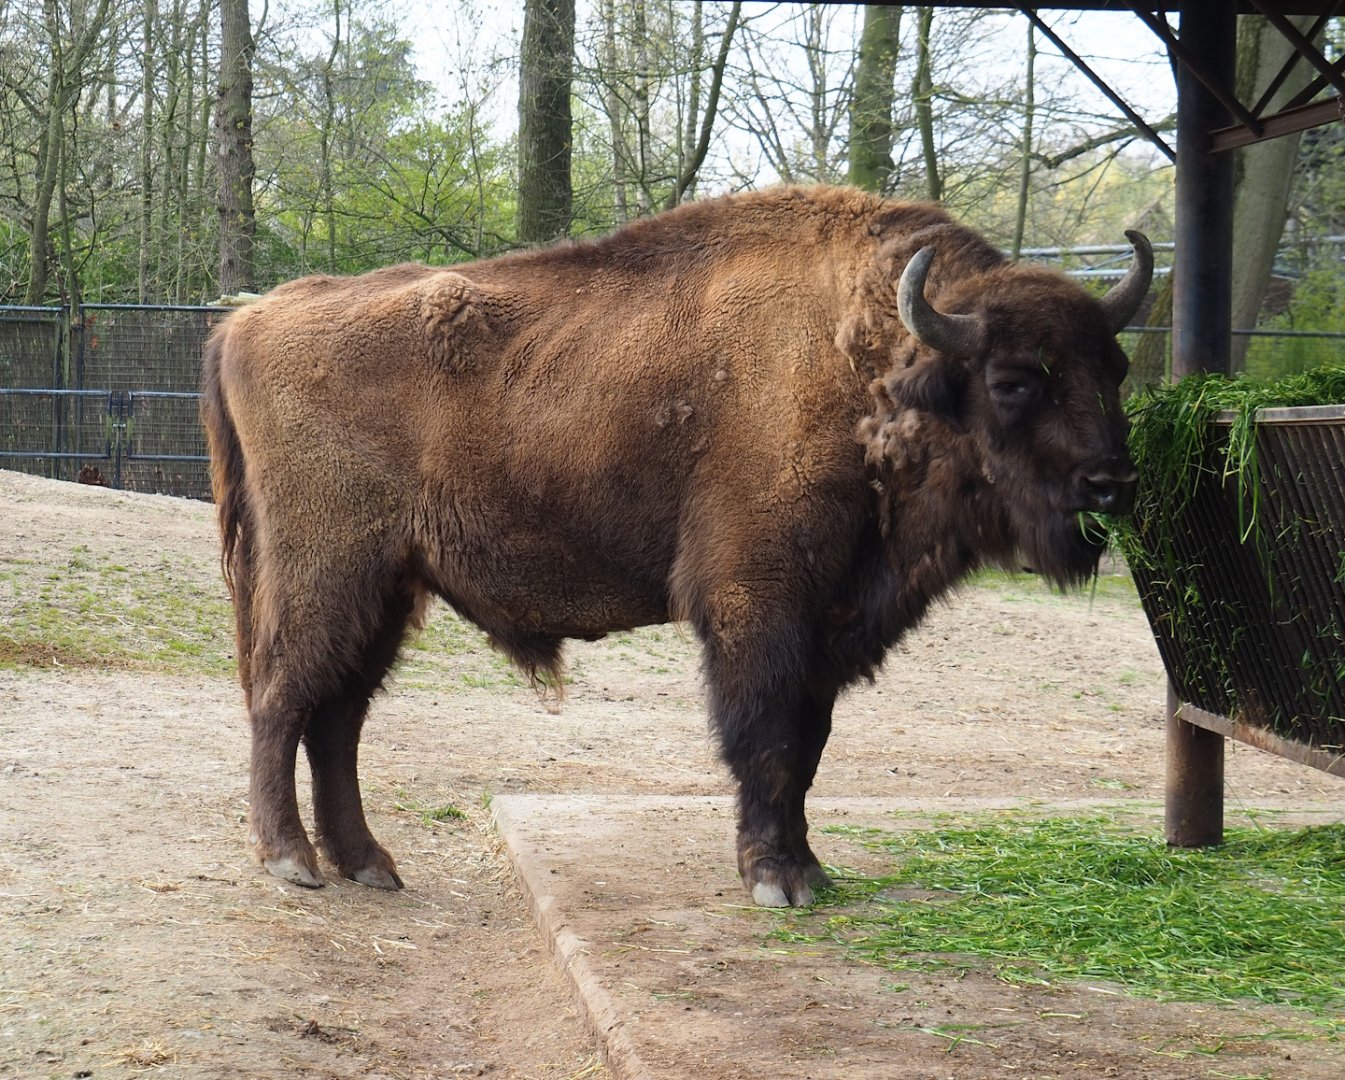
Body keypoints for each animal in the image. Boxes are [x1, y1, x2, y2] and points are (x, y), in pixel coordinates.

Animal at [202, 184, 1150, 907]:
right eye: (1015, 380)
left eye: (1113, 370)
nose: (1112, 482)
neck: (869, 362)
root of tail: (252, 319)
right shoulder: (757, 603)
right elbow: (767, 740)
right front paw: (775, 879)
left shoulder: (826, 623)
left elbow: (807, 746)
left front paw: (809, 871)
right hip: (326, 569)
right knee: (283, 695)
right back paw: (291, 861)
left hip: (391, 587)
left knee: (337, 716)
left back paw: (367, 864)